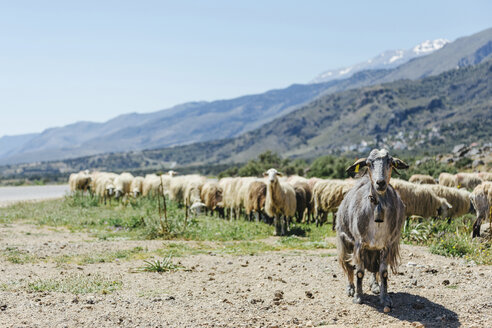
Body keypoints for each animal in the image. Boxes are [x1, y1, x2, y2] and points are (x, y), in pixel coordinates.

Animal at [336, 149, 410, 312]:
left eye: (390, 162)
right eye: (369, 164)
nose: (380, 183)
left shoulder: (386, 245)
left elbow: (383, 273)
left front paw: (384, 298)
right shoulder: (359, 244)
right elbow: (359, 272)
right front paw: (358, 297)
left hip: (374, 250)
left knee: (375, 270)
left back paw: (375, 286)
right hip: (345, 242)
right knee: (348, 266)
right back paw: (350, 288)